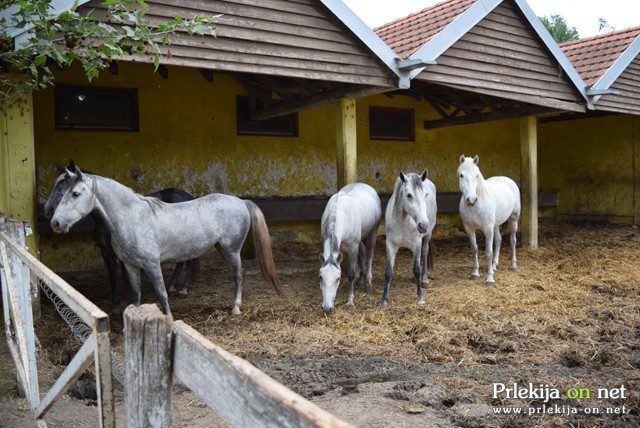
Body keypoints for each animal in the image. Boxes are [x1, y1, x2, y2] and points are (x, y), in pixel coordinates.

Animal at [316, 183, 378, 314]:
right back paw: (361, 280)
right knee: (363, 251)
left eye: (338, 278)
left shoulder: (352, 248)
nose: (327, 308)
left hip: (373, 230)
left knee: (370, 253)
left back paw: (368, 283)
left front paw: (350, 300)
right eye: (320, 277)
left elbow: (350, 274)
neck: (339, 213)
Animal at [380, 170, 436, 308]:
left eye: (425, 194)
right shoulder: (390, 246)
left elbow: (417, 269)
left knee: (425, 254)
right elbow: (388, 272)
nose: (423, 225)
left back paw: (424, 280)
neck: (403, 222)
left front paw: (420, 298)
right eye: (409, 195)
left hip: (427, 237)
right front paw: (384, 301)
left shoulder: (417, 245)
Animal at [458, 155, 516, 284]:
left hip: (513, 219)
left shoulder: (488, 229)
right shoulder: (469, 228)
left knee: (513, 241)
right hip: (496, 225)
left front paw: (490, 278)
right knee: (498, 240)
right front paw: (475, 273)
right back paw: (494, 265)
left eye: (476, 175)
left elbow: (488, 252)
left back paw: (514, 265)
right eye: (461, 175)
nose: (471, 200)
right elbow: (474, 249)